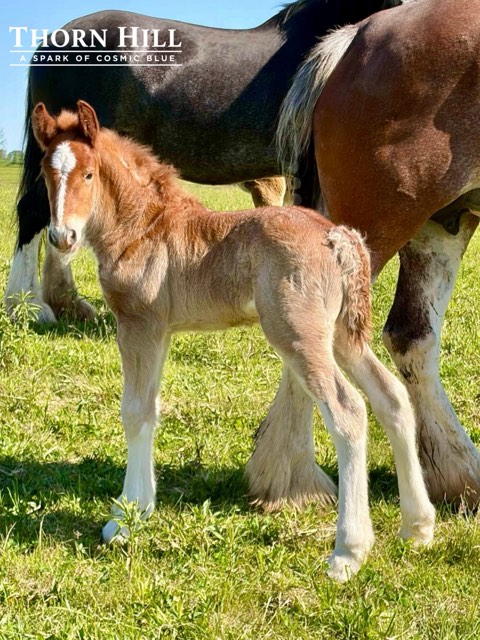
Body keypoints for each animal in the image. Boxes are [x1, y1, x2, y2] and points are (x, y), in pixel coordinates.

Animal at [31, 100, 434, 581]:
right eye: (45, 172)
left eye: (89, 174)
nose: (62, 237)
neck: (143, 228)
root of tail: (338, 236)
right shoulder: (160, 331)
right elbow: (151, 409)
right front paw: (141, 508)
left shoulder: (137, 324)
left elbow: (134, 412)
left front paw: (122, 521)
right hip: (340, 336)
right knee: (391, 397)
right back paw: (418, 527)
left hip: (298, 335)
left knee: (348, 410)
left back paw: (348, 553)